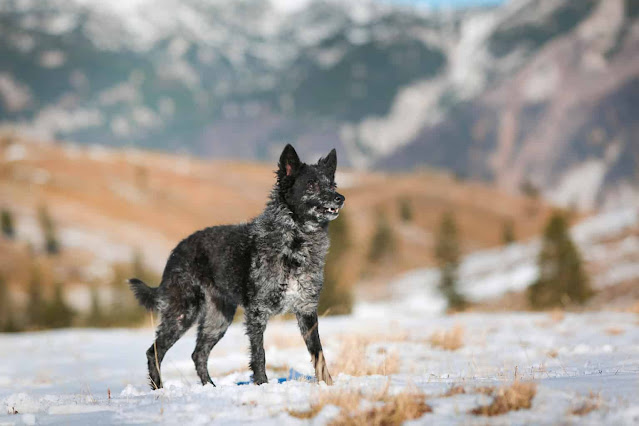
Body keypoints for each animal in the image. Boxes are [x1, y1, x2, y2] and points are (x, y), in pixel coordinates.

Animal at [129, 144, 344, 390]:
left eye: (332, 184)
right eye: (311, 184)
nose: (340, 198)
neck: (295, 241)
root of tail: (176, 251)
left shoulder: (306, 309)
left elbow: (318, 354)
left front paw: (328, 386)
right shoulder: (257, 312)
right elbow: (259, 354)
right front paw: (262, 385)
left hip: (219, 318)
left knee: (198, 354)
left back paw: (210, 388)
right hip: (183, 312)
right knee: (154, 351)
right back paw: (159, 389)